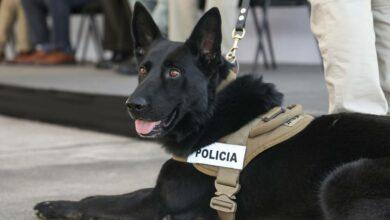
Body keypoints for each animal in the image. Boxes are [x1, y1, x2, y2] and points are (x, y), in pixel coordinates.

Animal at [34, 3, 390, 220]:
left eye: (174, 73)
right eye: (143, 69)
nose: (132, 106)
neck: (213, 109)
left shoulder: (158, 201)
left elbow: (98, 199)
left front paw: (55, 204)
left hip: (341, 179)